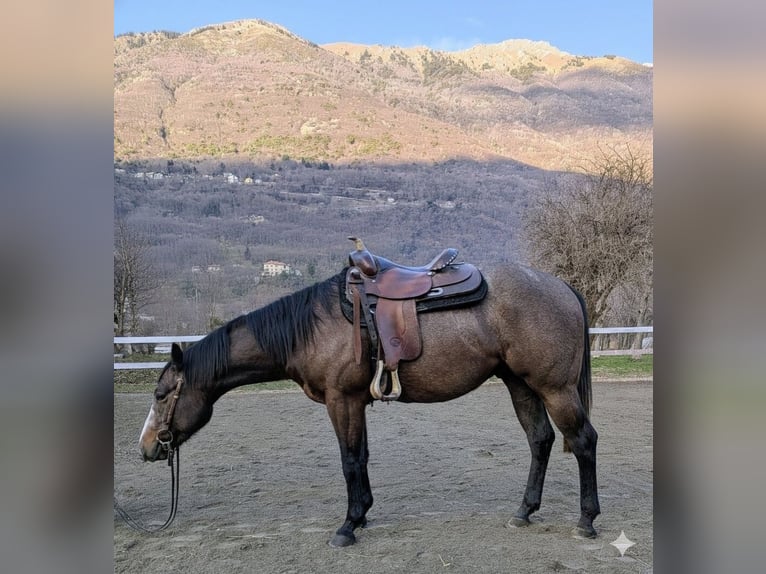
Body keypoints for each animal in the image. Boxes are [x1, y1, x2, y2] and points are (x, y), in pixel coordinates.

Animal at [138, 261, 599, 547]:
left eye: (161, 395)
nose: (144, 448)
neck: (313, 326)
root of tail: (561, 287)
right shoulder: (355, 403)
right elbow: (360, 457)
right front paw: (362, 515)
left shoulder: (341, 401)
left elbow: (348, 460)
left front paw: (348, 525)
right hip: (521, 385)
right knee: (540, 440)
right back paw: (524, 511)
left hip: (555, 388)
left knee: (583, 441)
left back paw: (586, 521)